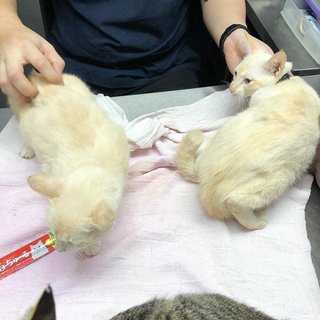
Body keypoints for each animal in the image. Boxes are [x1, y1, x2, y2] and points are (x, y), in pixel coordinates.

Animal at [8, 71, 129, 256]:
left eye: (71, 243)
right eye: (53, 233)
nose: (58, 250)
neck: (90, 164)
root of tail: (41, 84)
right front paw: (92, 246)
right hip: (20, 109)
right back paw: (27, 149)